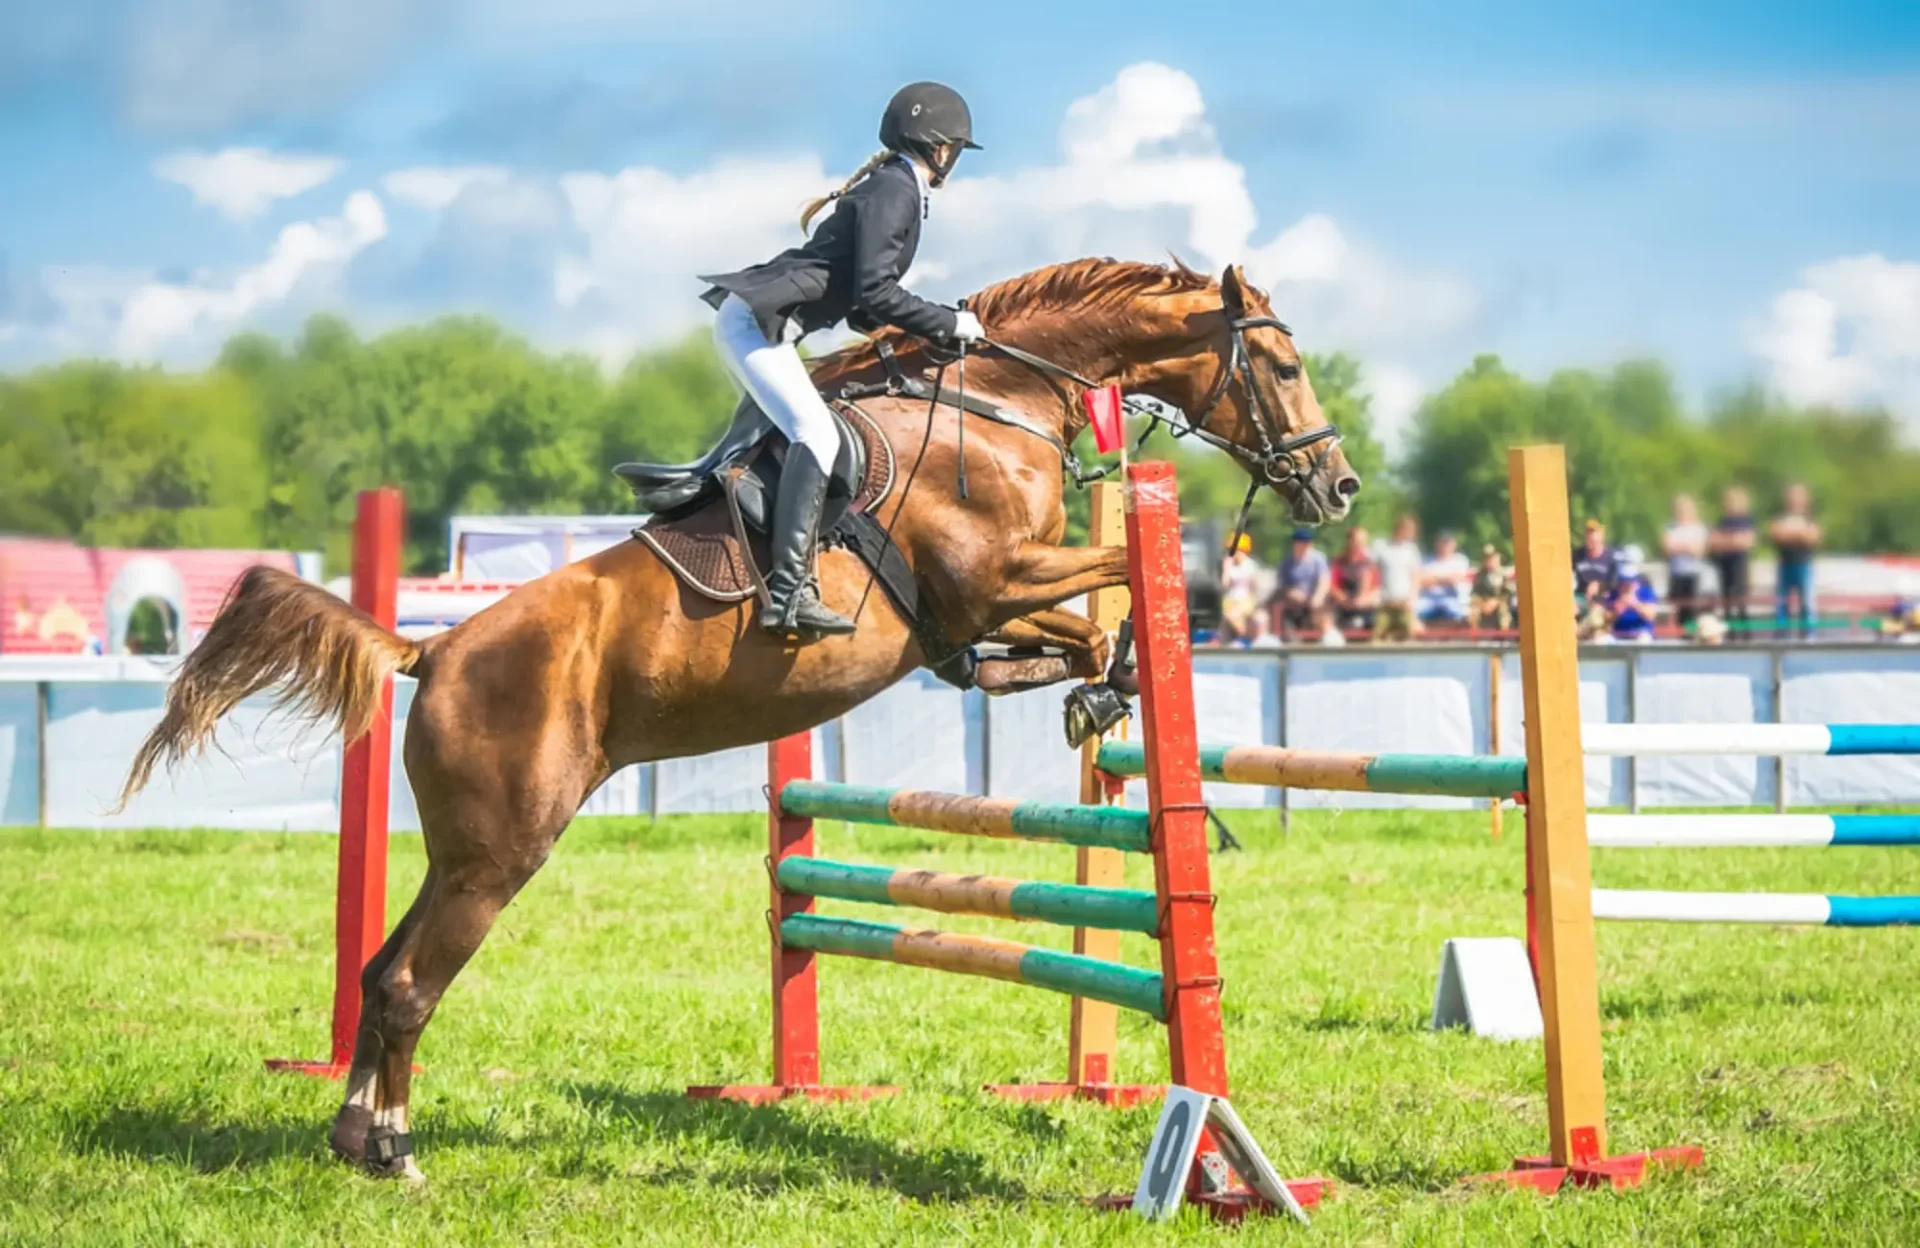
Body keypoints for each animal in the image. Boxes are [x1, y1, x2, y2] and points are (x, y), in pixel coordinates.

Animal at [118, 257, 1358, 1179]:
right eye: (1284, 363)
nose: (1338, 488)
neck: (995, 407)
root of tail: (433, 648)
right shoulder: (993, 578)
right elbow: (1143, 583)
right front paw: (1120, 663)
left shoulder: (982, 610)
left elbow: (1081, 637)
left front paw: (1091, 690)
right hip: (504, 847)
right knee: (413, 982)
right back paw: (394, 1150)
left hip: (463, 848)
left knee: (383, 973)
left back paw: (354, 1133)